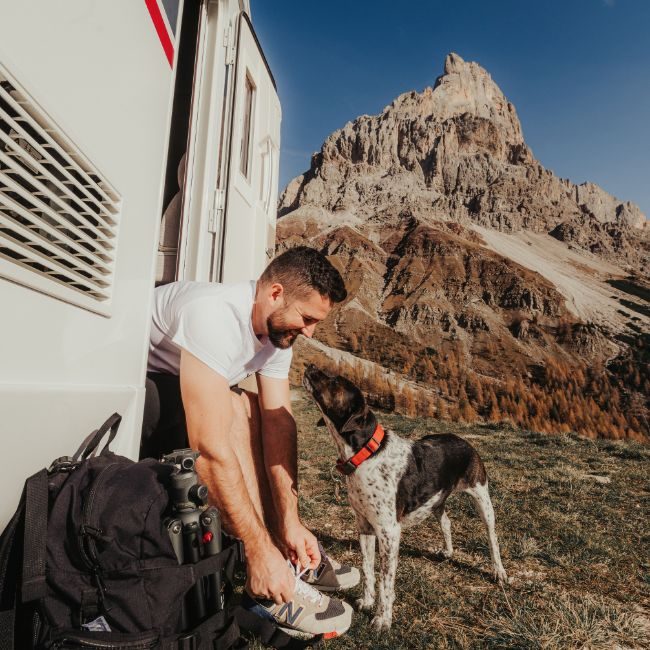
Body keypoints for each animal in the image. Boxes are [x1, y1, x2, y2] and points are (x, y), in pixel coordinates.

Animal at [302, 364, 508, 628]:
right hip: (436, 501)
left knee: (492, 537)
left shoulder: (389, 532)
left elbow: (385, 580)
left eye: (336, 381)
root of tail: (463, 440)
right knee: (447, 522)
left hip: (482, 497)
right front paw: (367, 601)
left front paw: (383, 618)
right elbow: (367, 569)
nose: (310, 366)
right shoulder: (364, 525)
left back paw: (498, 571)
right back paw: (448, 551)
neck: (366, 454)